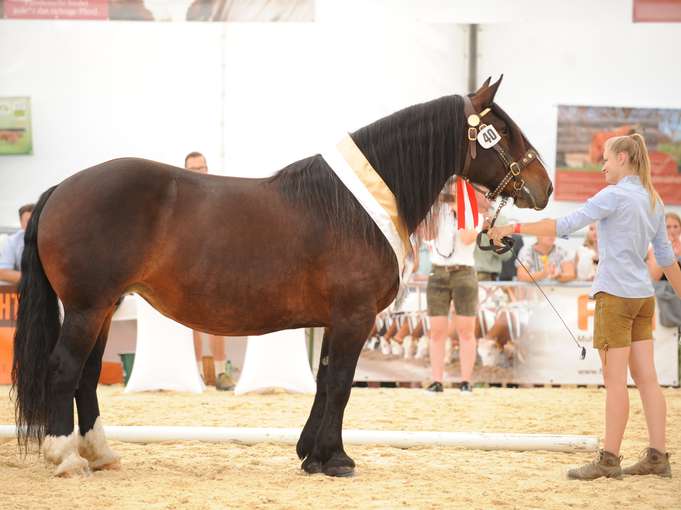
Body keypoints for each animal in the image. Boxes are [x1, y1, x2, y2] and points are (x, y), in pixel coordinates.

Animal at [13, 76, 548, 478]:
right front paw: (337, 460)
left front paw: (312, 454)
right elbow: (342, 384)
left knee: (86, 377)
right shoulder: (354, 317)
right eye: (503, 130)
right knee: (64, 370)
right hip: (87, 308)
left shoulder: (336, 320)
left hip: (103, 308)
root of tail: (62, 187)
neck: (354, 207)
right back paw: (66, 457)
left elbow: (325, 379)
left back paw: (100, 453)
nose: (543, 187)